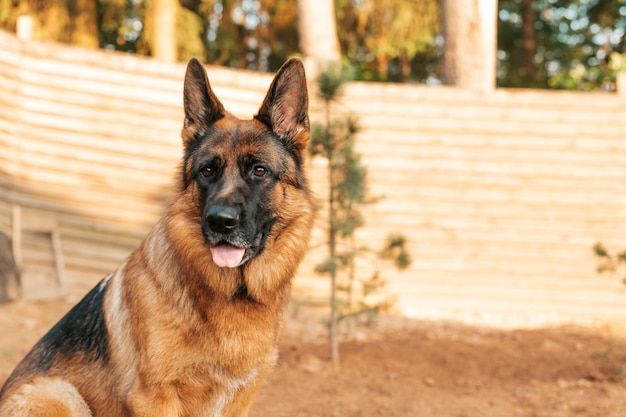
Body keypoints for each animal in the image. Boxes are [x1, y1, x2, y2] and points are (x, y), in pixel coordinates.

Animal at [0, 58, 312, 416]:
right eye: (207, 171)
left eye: (259, 171)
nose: (219, 221)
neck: (232, 293)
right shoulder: (154, 398)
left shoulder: (239, 402)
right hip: (58, 392)